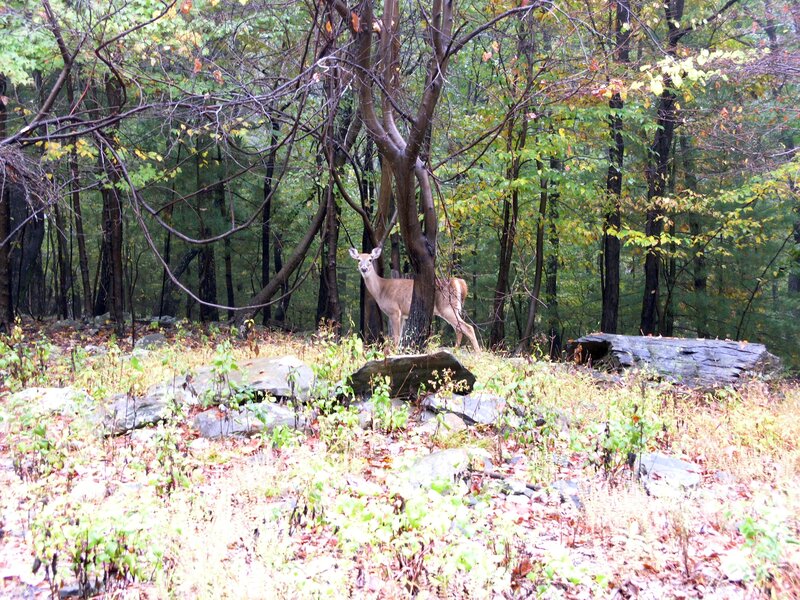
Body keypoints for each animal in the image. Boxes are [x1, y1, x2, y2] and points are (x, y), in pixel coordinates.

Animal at [349, 246, 480, 351]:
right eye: (358, 259)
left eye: (370, 259)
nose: (364, 269)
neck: (381, 290)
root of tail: (459, 282)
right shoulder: (402, 315)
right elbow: (399, 337)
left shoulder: (394, 311)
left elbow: (396, 337)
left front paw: (394, 353)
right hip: (452, 308)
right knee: (459, 329)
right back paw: (456, 351)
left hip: (447, 307)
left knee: (468, 328)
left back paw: (477, 354)